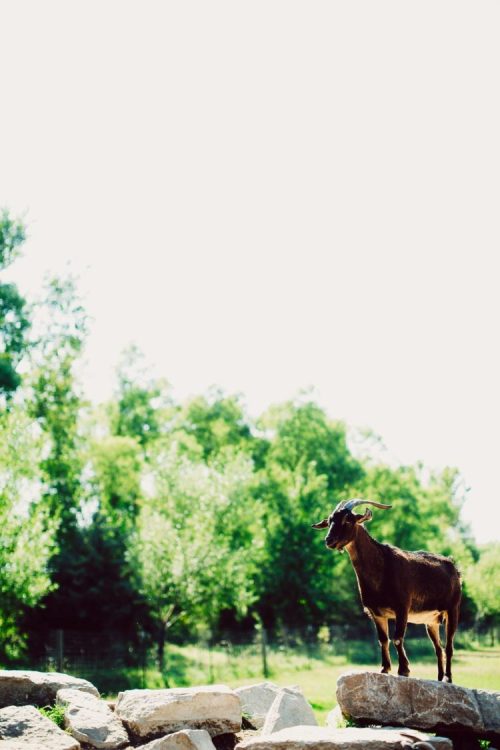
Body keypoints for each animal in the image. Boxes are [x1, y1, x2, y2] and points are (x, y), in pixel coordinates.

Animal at [312, 498, 461, 682]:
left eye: (348, 520)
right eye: (329, 521)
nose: (329, 540)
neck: (381, 567)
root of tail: (454, 567)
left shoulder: (402, 607)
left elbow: (397, 638)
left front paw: (404, 670)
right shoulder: (376, 613)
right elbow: (383, 639)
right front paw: (384, 668)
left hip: (452, 609)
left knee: (449, 647)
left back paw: (448, 678)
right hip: (431, 620)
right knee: (438, 648)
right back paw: (439, 679)